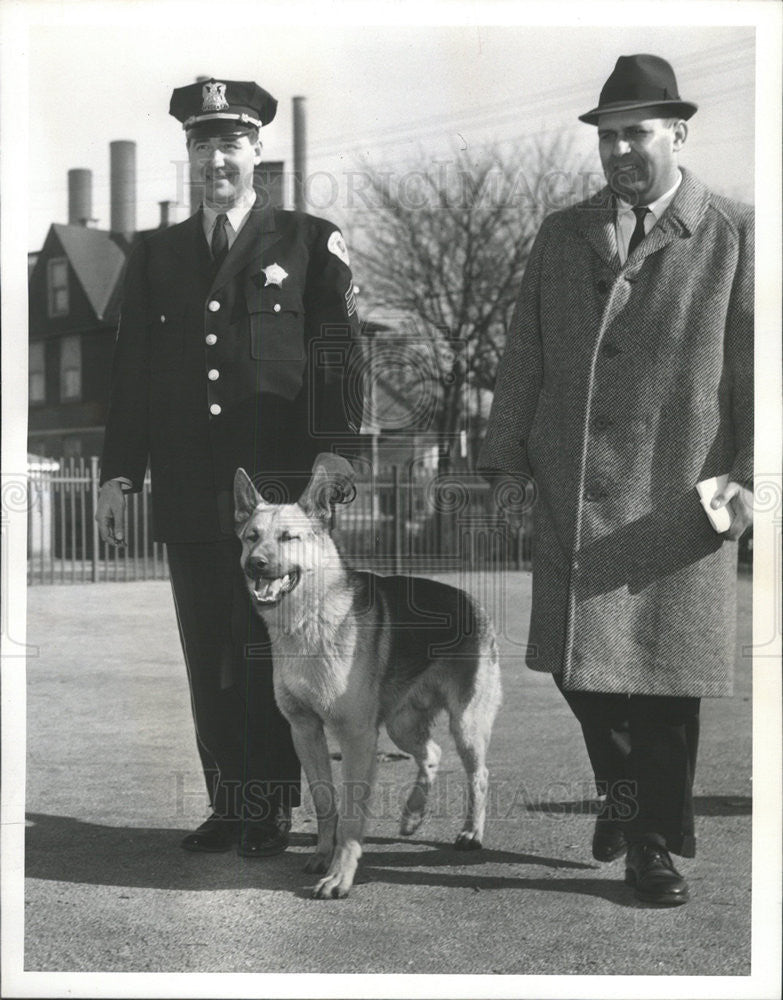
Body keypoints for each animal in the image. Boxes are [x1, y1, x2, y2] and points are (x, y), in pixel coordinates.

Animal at [233, 464, 502, 904]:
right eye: (251, 537)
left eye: (289, 538)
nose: (255, 565)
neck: (308, 622)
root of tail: (470, 600)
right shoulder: (304, 731)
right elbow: (325, 802)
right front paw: (322, 855)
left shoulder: (356, 737)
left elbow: (351, 817)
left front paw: (339, 876)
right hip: (400, 726)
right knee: (431, 753)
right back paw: (412, 814)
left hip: (465, 725)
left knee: (478, 774)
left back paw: (471, 833)